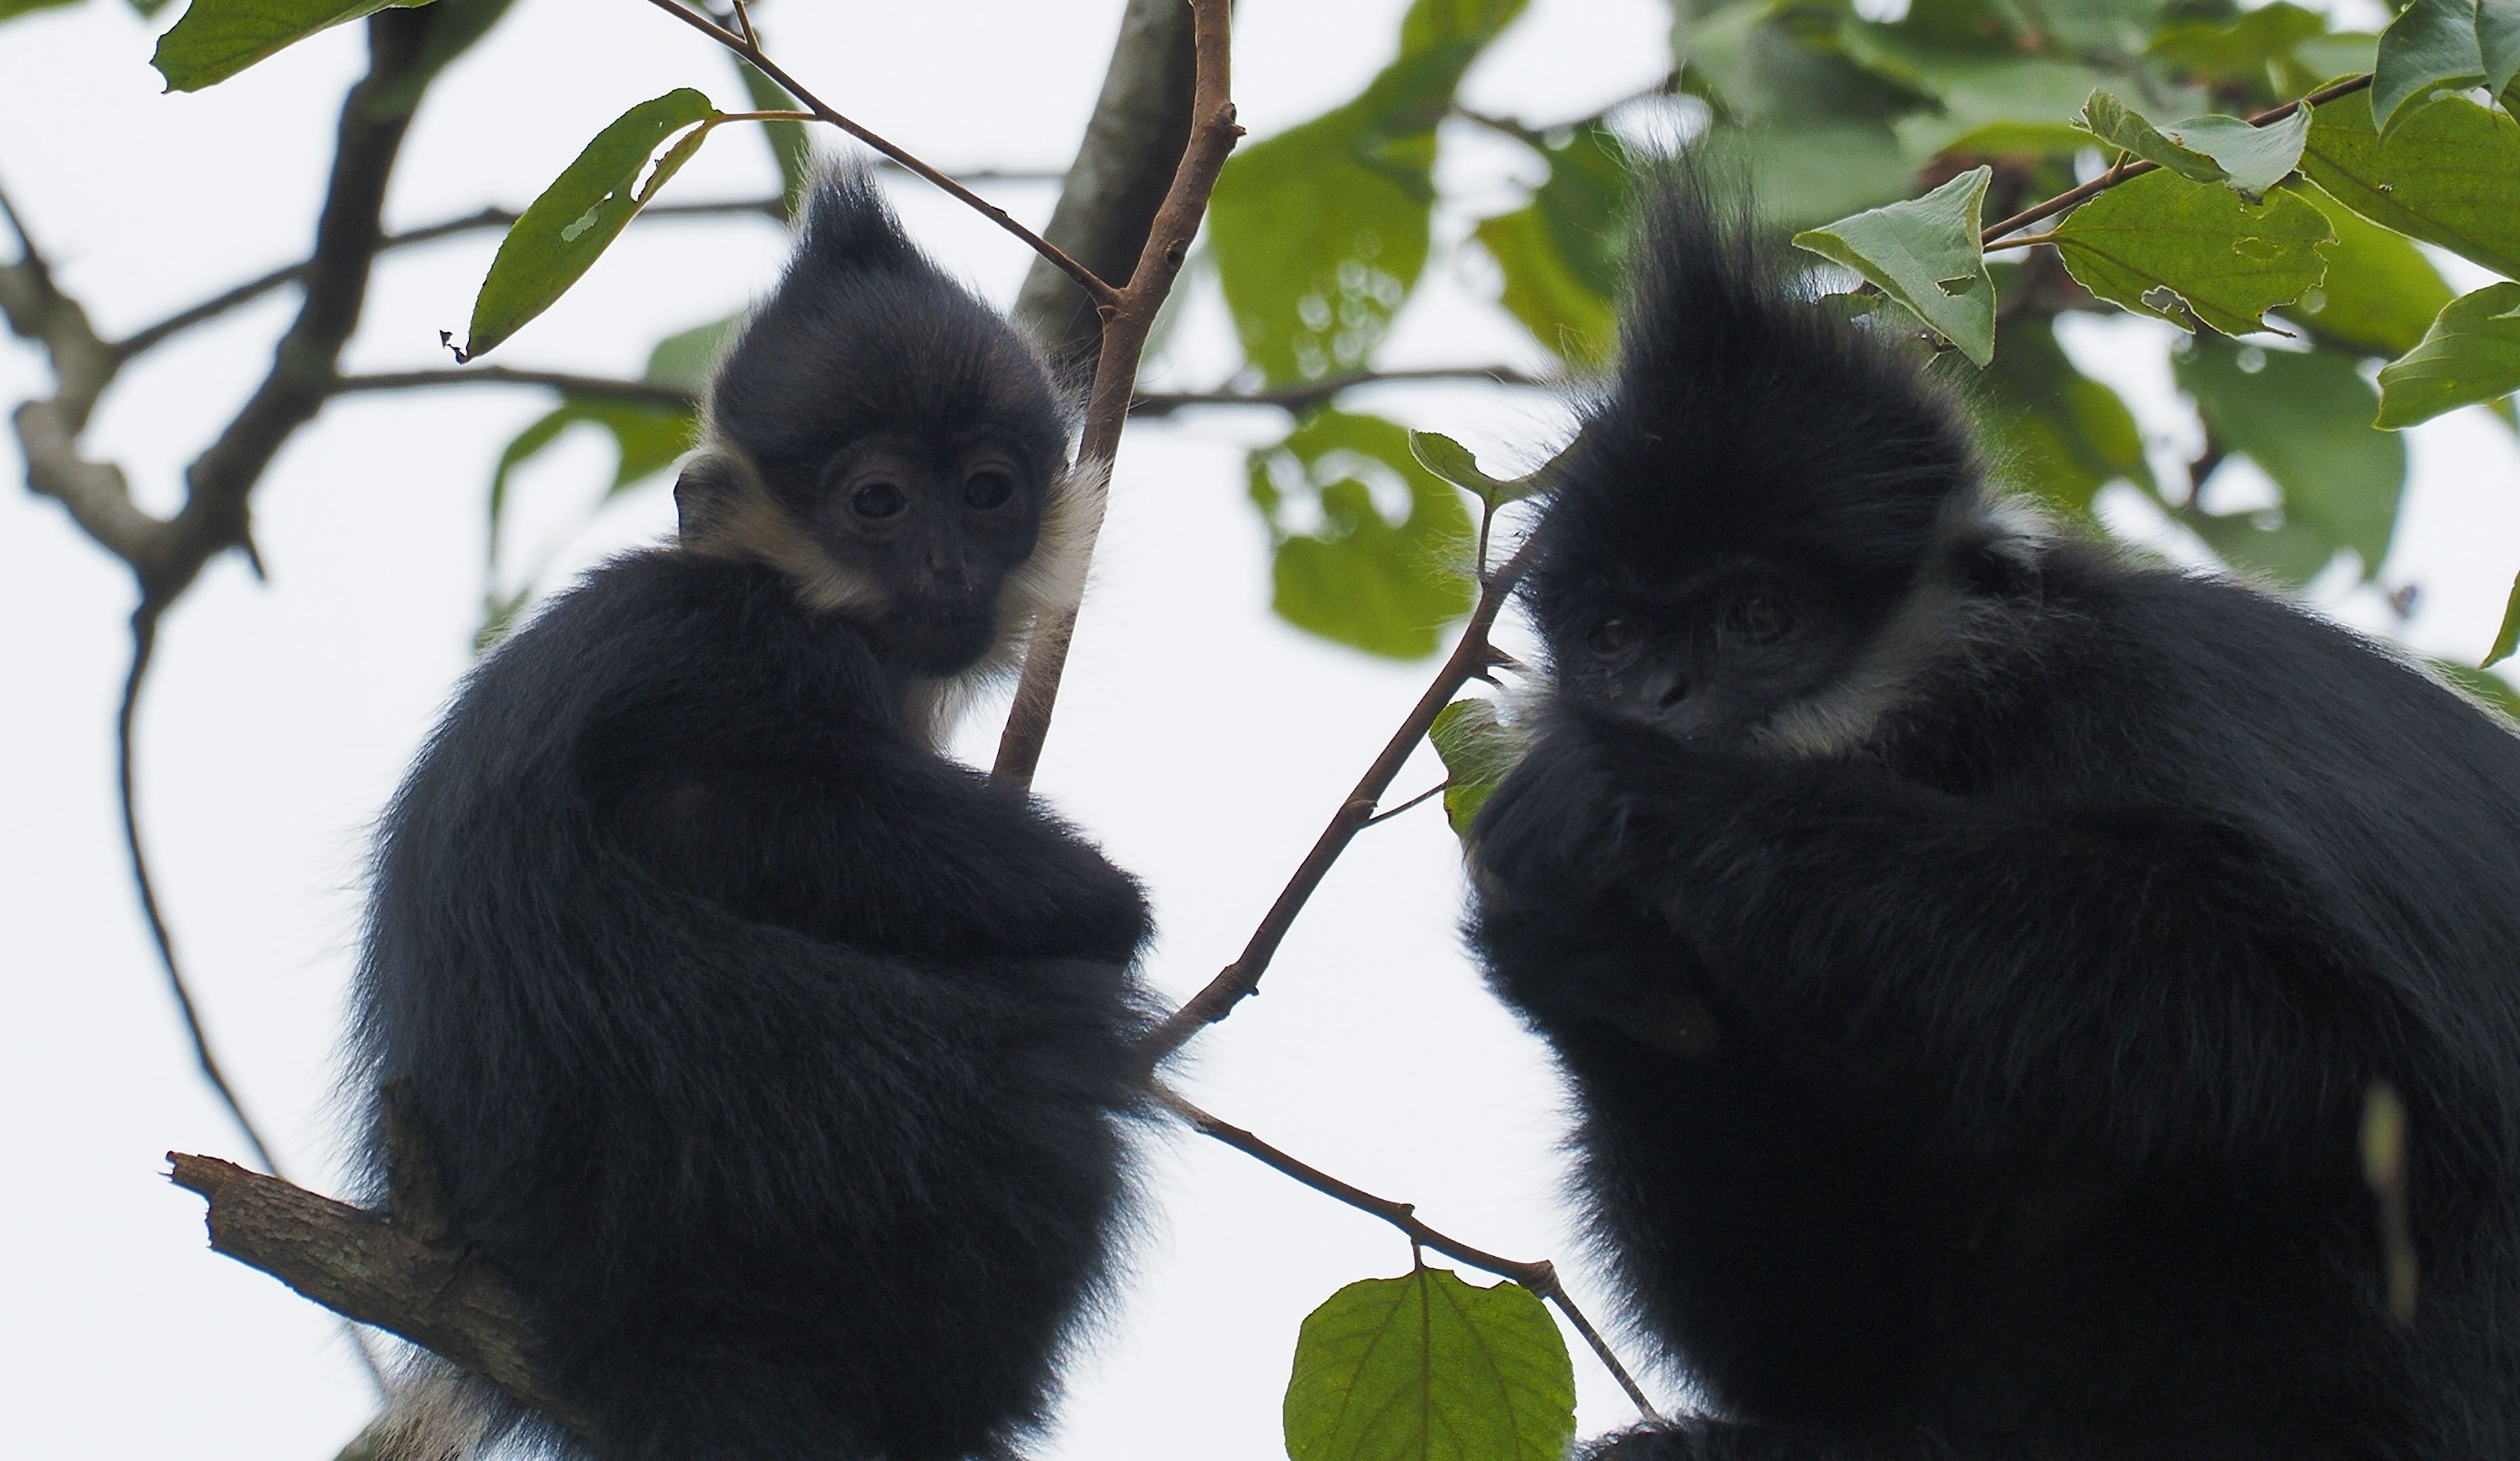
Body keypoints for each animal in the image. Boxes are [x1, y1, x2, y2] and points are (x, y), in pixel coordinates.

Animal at [348, 173, 1154, 1461]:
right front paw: (1096, 895)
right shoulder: (749, 646)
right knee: (1057, 1051)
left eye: (987, 494)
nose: (947, 567)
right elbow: (701, 807)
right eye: (877, 504)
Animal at [1471, 176, 2520, 1451]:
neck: (1975, 739)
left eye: (1759, 619)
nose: (1658, 701)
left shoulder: (2158, 704)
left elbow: (2355, 1055)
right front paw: (1586, 964)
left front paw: (1643, 802)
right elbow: (1828, 1352)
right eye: (1615, 637)